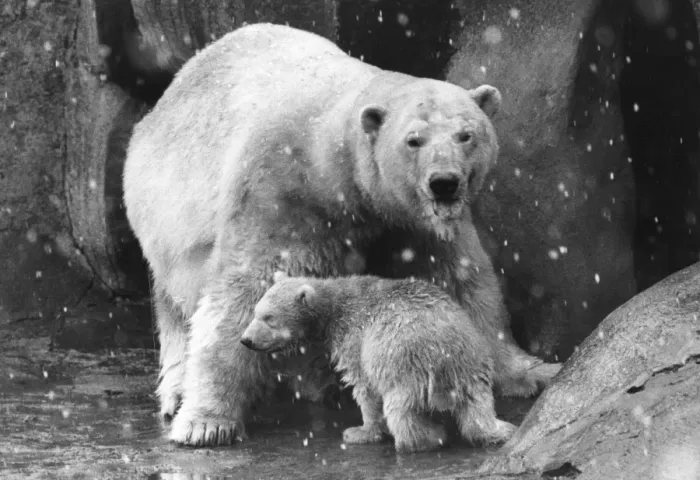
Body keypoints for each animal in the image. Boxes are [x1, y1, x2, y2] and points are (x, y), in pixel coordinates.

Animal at [240, 274, 520, 454]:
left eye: (269, 317)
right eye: (255, 312)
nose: (246, 340)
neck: (334, 306)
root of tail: (445, 350)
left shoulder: (355, 337)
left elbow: (364, 387)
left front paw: (360, 431)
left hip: (403, 361)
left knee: (400, 407)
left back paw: (428, 437)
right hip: (472, 361)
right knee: (477, 405)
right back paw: (500, 430)